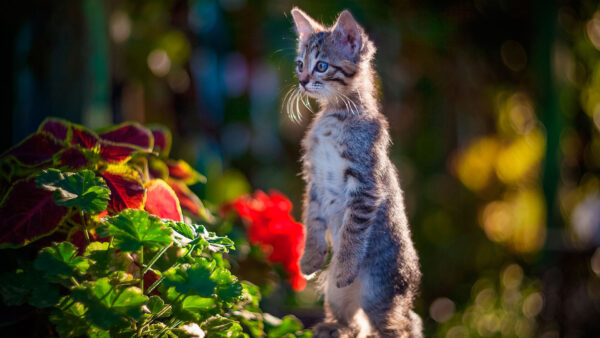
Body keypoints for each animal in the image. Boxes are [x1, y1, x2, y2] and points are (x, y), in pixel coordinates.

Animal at [290, 7, 422, 338]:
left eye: (322, 66)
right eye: (300, 64)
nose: (302, 81)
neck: (335, 116)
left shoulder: (365, 184)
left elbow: (352, 232)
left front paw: (345, 268)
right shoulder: (314, 179)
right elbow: (312, 218)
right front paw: (310, 258)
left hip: (380, 294)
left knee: (402, 325)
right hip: (338, 298)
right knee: (354, 324)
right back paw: (333, 327)